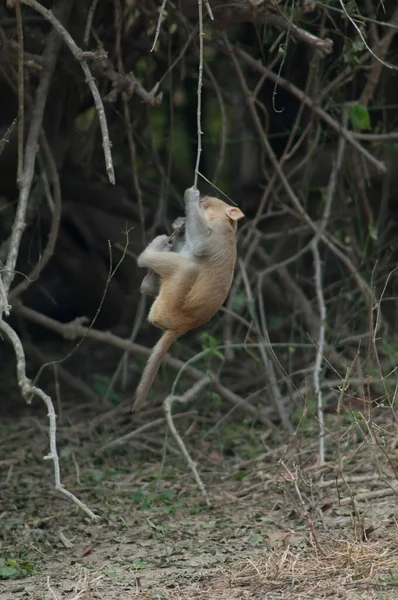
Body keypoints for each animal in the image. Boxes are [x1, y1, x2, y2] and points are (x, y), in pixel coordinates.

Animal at [134, 188, 244, 412]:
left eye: (206, 202)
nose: (202, 198)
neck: (223, 221)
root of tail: (182, 326)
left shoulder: (219, 231)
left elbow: (201, 243)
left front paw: (190, 199)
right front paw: (179, 224)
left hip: (171, 302)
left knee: (187, 268)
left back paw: (147, 255)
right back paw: (149, 282)